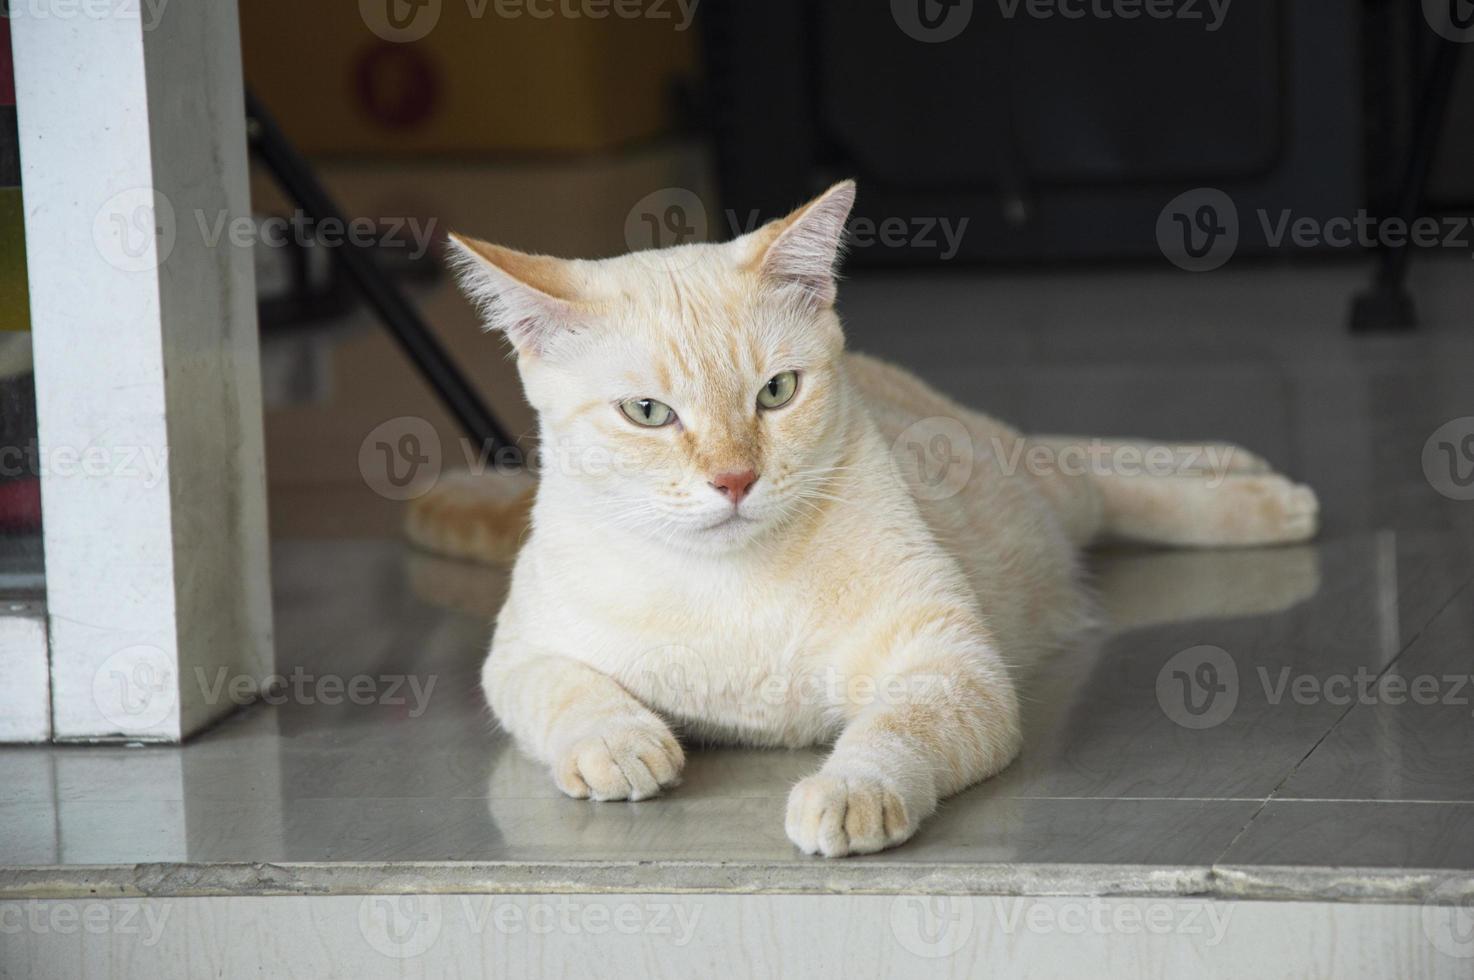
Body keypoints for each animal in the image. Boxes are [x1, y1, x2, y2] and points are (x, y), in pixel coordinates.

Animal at [409, 181, 1320, 854]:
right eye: (647, 413)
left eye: (777, 392)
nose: (735, 479)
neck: (727, 587)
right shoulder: (521, 651)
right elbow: (564, 690)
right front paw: (620, 744)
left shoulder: (947, 664)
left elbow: (893, 732)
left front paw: (851, 793)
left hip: (1048, 491)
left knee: (1100, 468)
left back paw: (1263, 493)